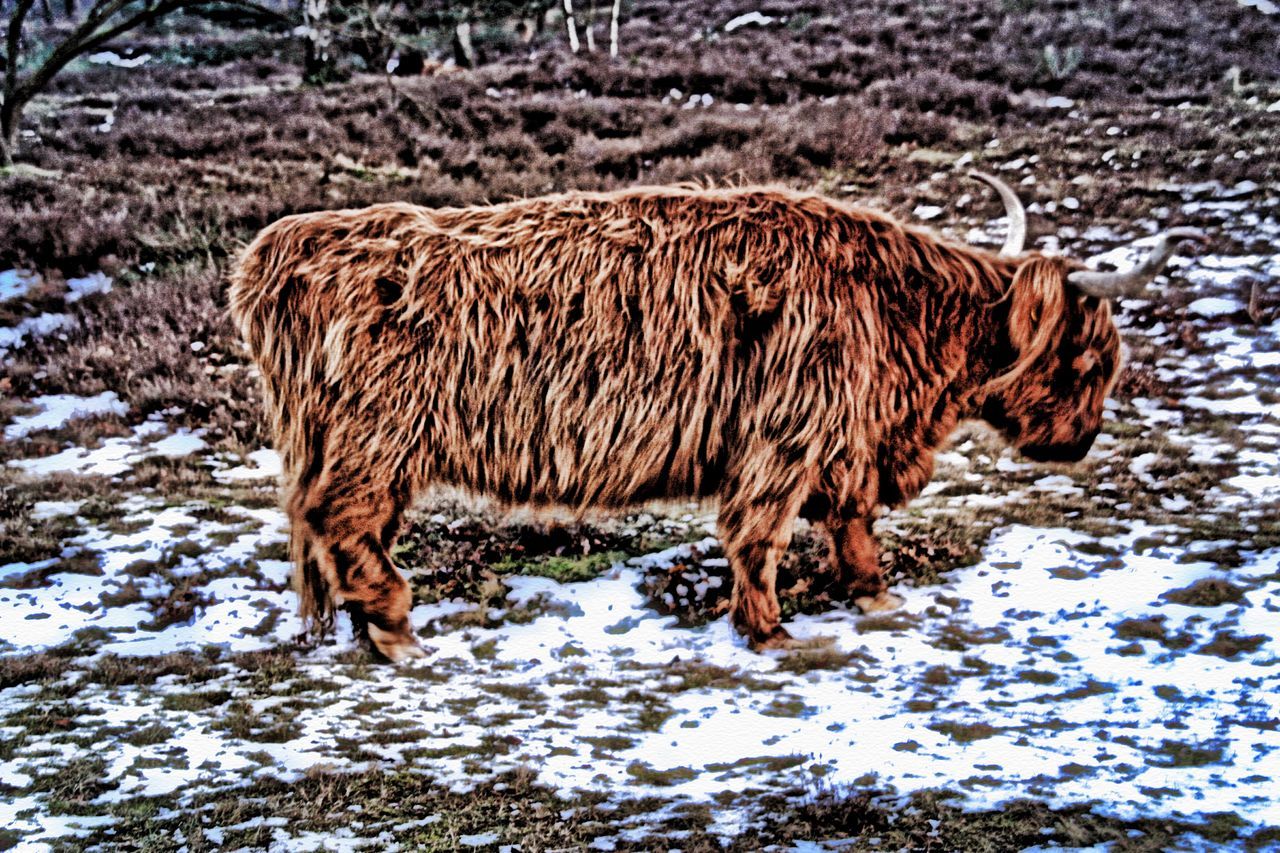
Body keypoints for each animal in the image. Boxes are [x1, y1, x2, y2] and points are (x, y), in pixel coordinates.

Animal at [235, 174, 1203, 655]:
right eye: (1090, 357)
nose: (1083, 440)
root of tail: (289, 249)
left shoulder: (842, 439)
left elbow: (850, 519)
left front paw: (873, 592)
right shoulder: (786, 433)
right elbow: (759, 533)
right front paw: (767, 630)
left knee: (338, 529)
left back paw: (372, 628)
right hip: (377, 437)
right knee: (342, 519)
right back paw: (397, 628)